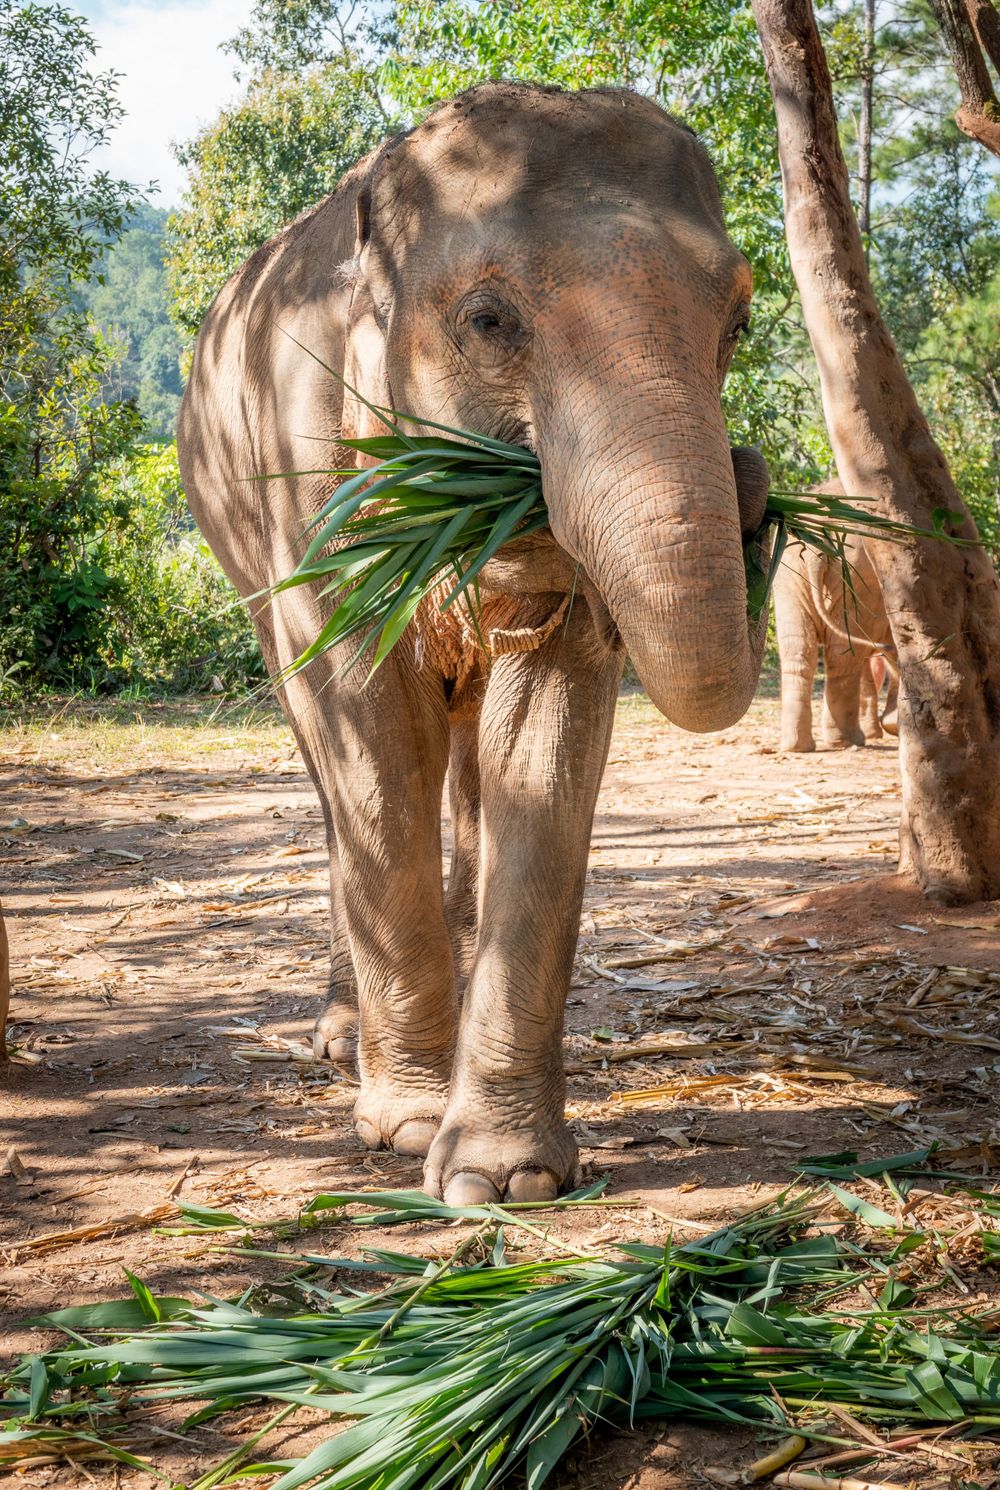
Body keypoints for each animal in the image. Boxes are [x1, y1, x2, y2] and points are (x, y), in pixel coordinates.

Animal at [177, 82, 772, 1205]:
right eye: (488, 322)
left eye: (739, 321)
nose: (757, 485)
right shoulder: (311, 480)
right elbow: (369, 736)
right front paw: (409, 1128)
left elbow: (541, 741)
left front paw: (505, 1180)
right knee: (334, 762)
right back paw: (344, 1037)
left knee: (460, 757)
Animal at [772, 485, 898, 752]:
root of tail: (813, 549)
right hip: (854, 577)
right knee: (843, 657)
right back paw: (846, 741)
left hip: (788, 578)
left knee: (799, 650)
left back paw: (797, 746)